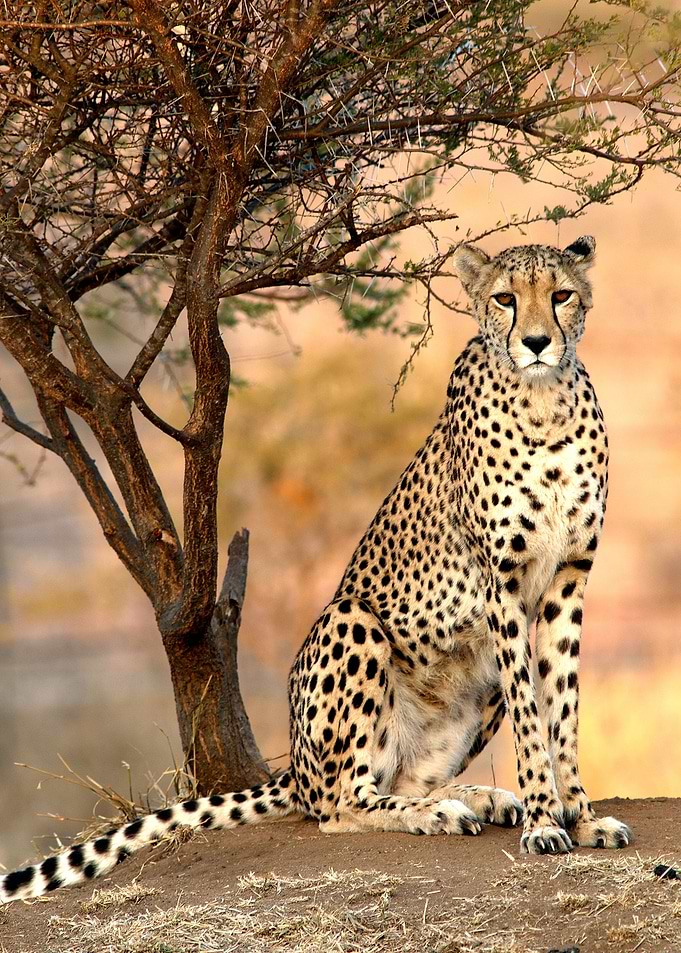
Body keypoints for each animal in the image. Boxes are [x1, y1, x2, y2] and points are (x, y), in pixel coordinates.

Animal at [0, 235, 631, 904]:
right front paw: (545, 821)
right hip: (353, 621)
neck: (545, 402)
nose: (536, 342)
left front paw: (580, 815)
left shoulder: (568, 578)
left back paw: (475, 798)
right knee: (339, 803)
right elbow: (534, 718)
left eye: (561, 295)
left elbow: (562, 705)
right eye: (505, 299)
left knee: (398, 779)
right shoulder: (501, 585)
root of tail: (295, 770)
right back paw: (439, 812)